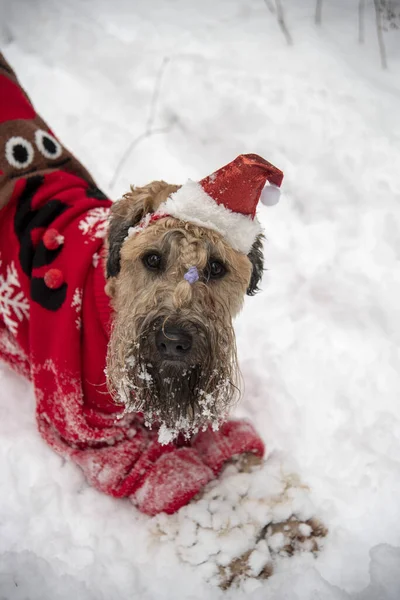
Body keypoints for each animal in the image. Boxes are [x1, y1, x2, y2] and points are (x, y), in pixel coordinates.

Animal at [0, 51, 324, 584]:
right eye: (152, 258)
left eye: (216, 268)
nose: (175, 341)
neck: (108, 307)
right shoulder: (90, 433)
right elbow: (177, 479)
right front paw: (242, 543)